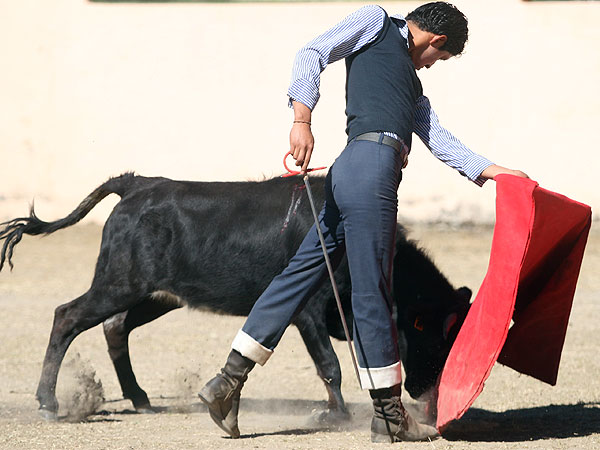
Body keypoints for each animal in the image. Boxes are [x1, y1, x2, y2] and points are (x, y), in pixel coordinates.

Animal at [0, 173, 472, 422]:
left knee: (115, 327)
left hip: (155, 294)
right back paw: (49, 403)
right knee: (67, 316)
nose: (427, 395)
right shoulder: (308, 311)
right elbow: (330, 366)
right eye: (436, 337)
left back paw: (141, 399)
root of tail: (138, 184)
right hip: (119, 283)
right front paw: (335, 415)